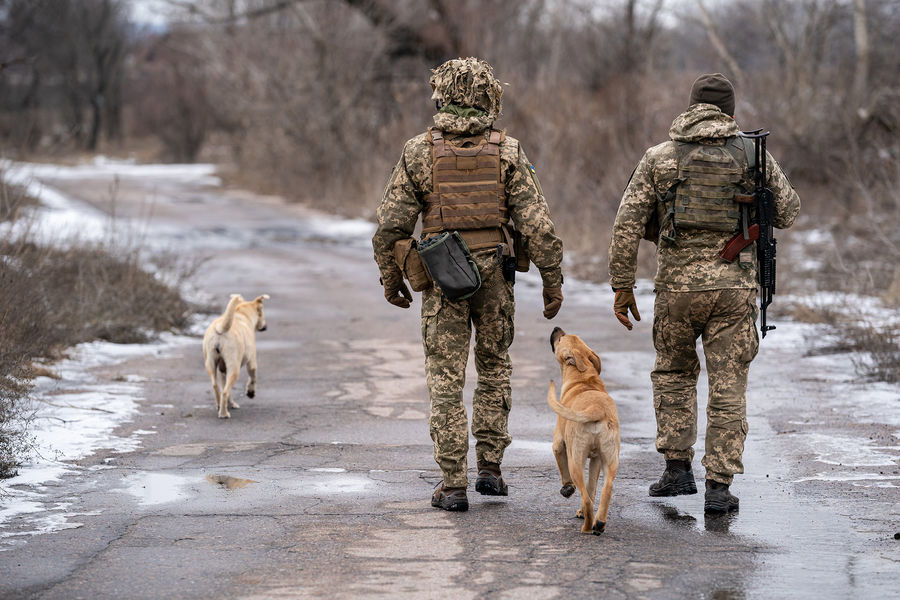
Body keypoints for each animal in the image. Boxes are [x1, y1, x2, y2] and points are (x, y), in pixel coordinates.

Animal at [548, 328, 620, 536]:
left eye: (561, 339)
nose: (556, 328)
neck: (583, 378)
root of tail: (597, 409)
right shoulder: (595, 459)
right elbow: (592, 487)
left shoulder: (558, 444)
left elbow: (563, 471)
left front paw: (567, 489)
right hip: (609, 459)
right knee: (604, 489)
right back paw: (599, 522)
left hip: (576, 460)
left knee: (587, 499)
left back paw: (587, 527)